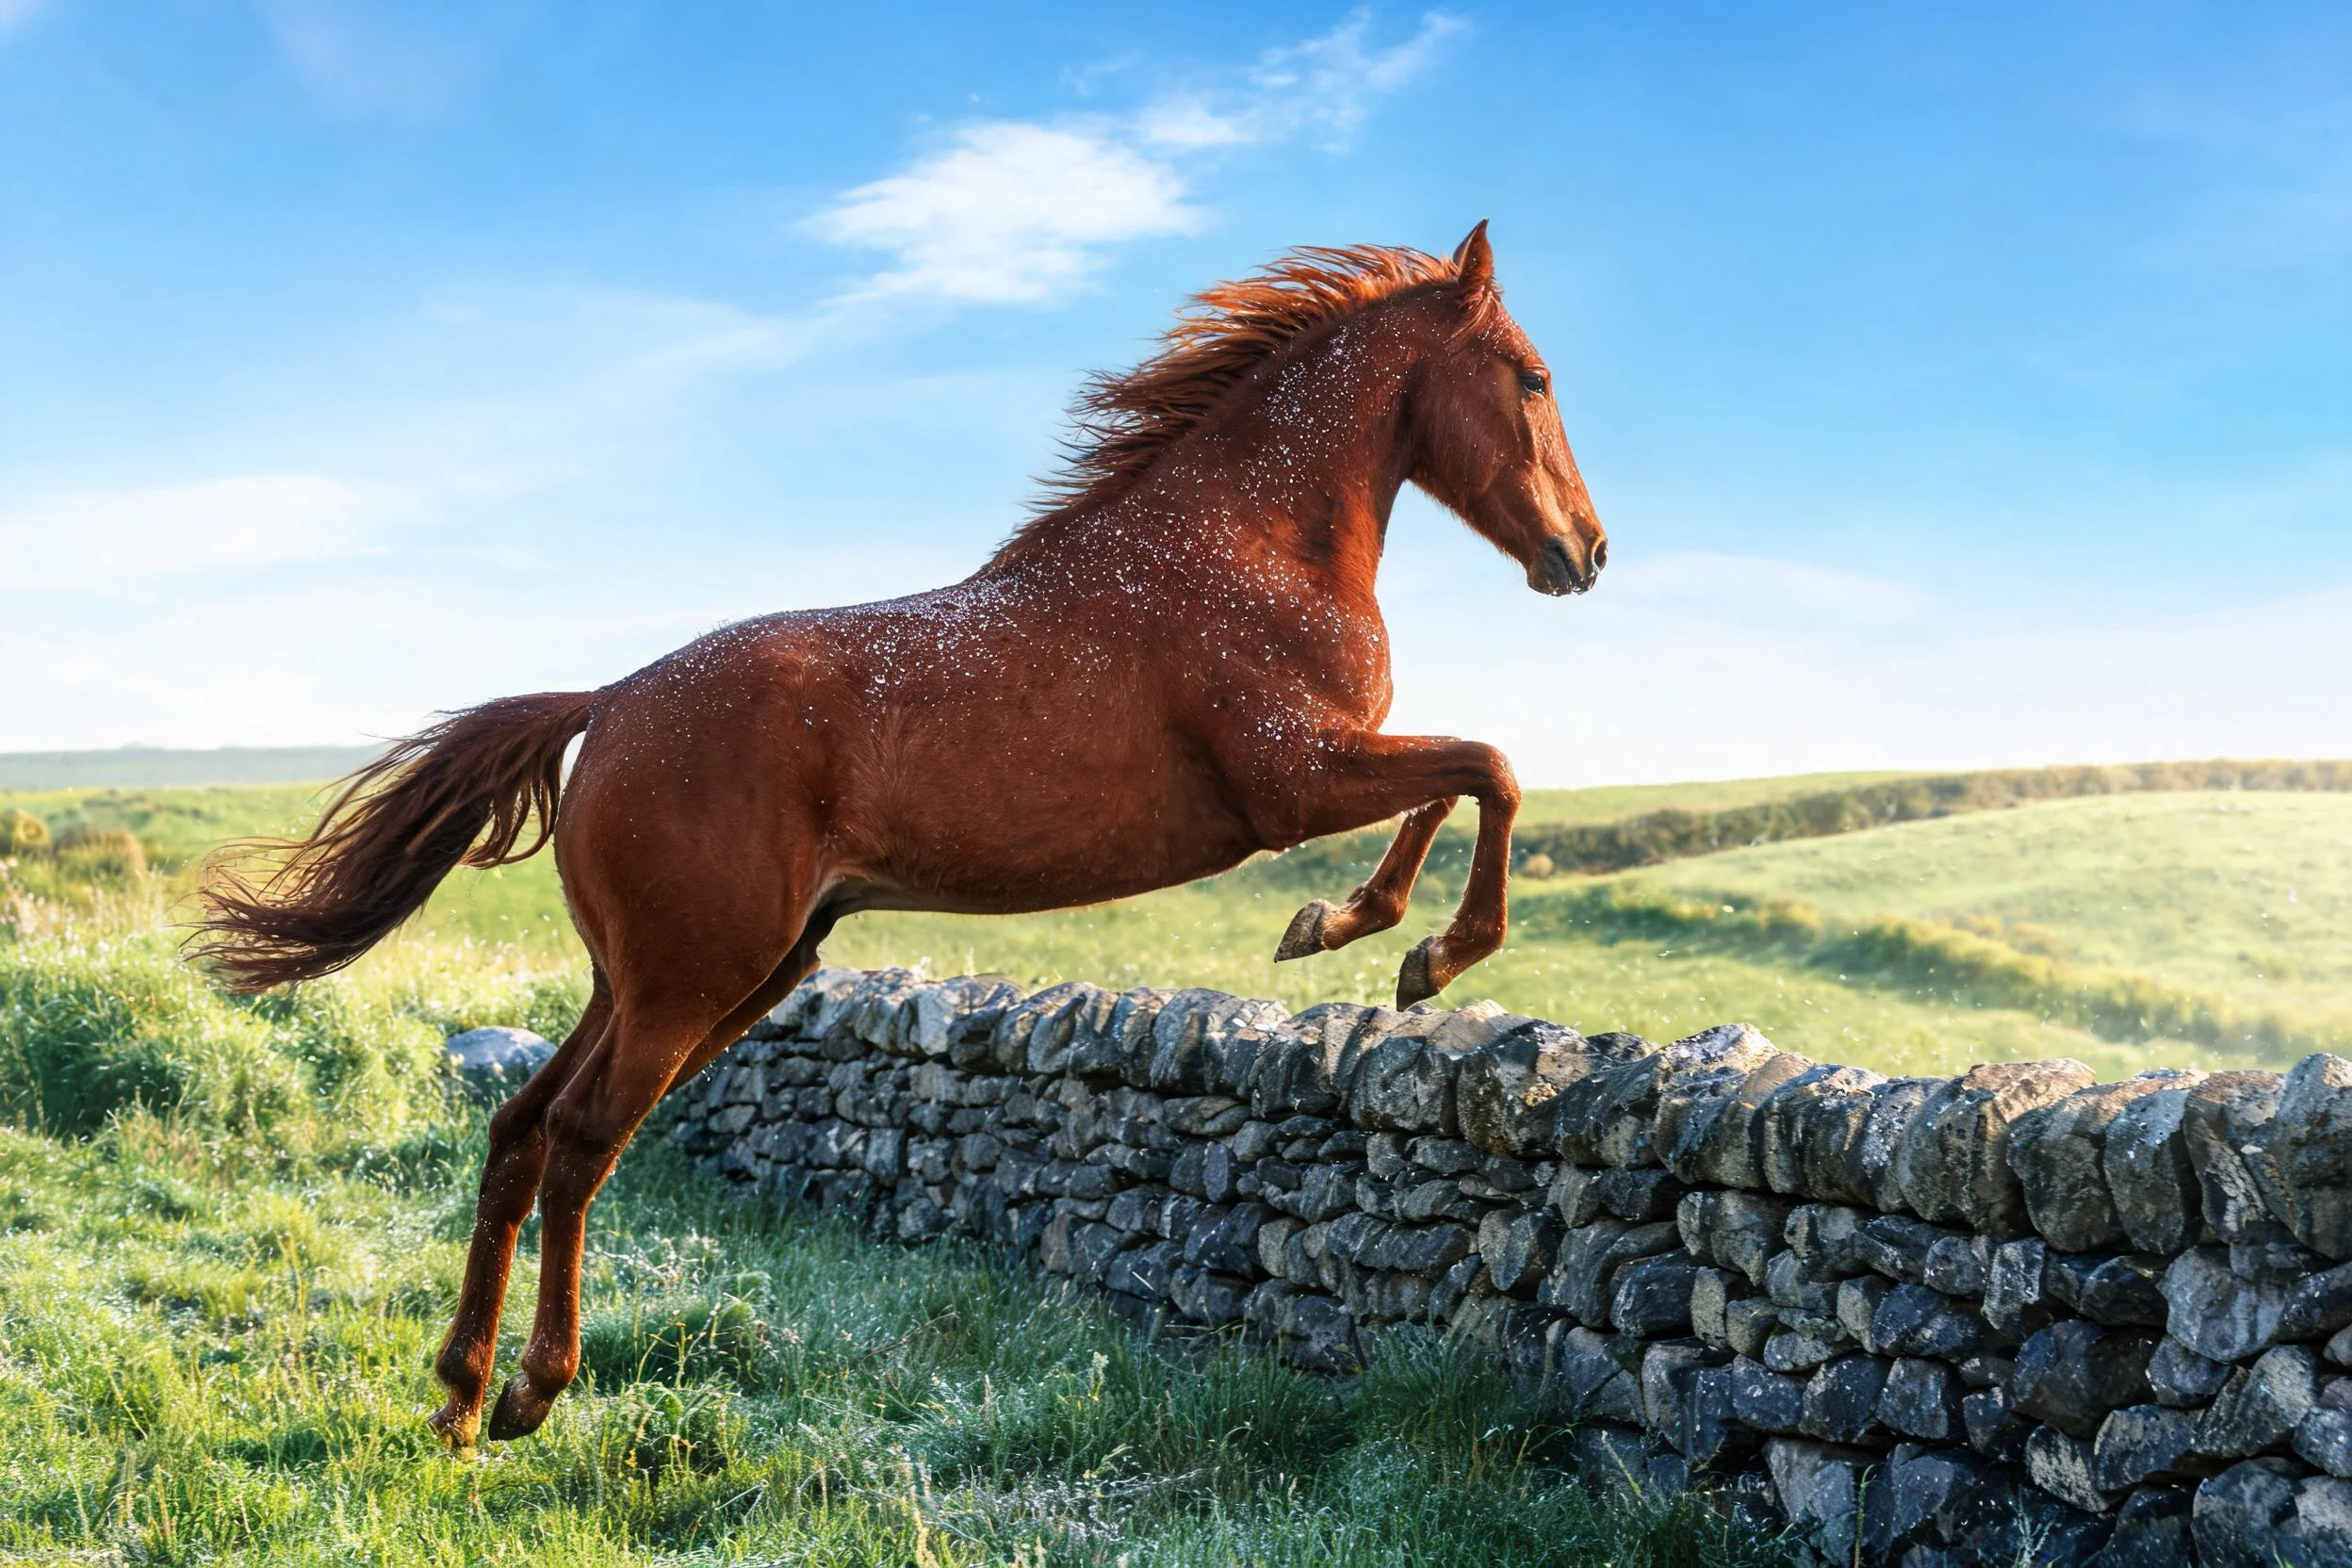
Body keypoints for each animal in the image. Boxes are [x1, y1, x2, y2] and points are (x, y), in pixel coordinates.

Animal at [192, 222, 1606, 1448]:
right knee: (584, 1142)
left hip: (677, 979)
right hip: (690, 984)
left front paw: (1349, 929)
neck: (1246, 543)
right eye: (1534, 376)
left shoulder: (1328, 767)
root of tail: (609, 700)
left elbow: (1453, 782)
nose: (1585, 552)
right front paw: (1420, 947)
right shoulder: (1293, 781)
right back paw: (536, 1388)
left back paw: (457, 1394)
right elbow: (1490, 767)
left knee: (518, 1131)